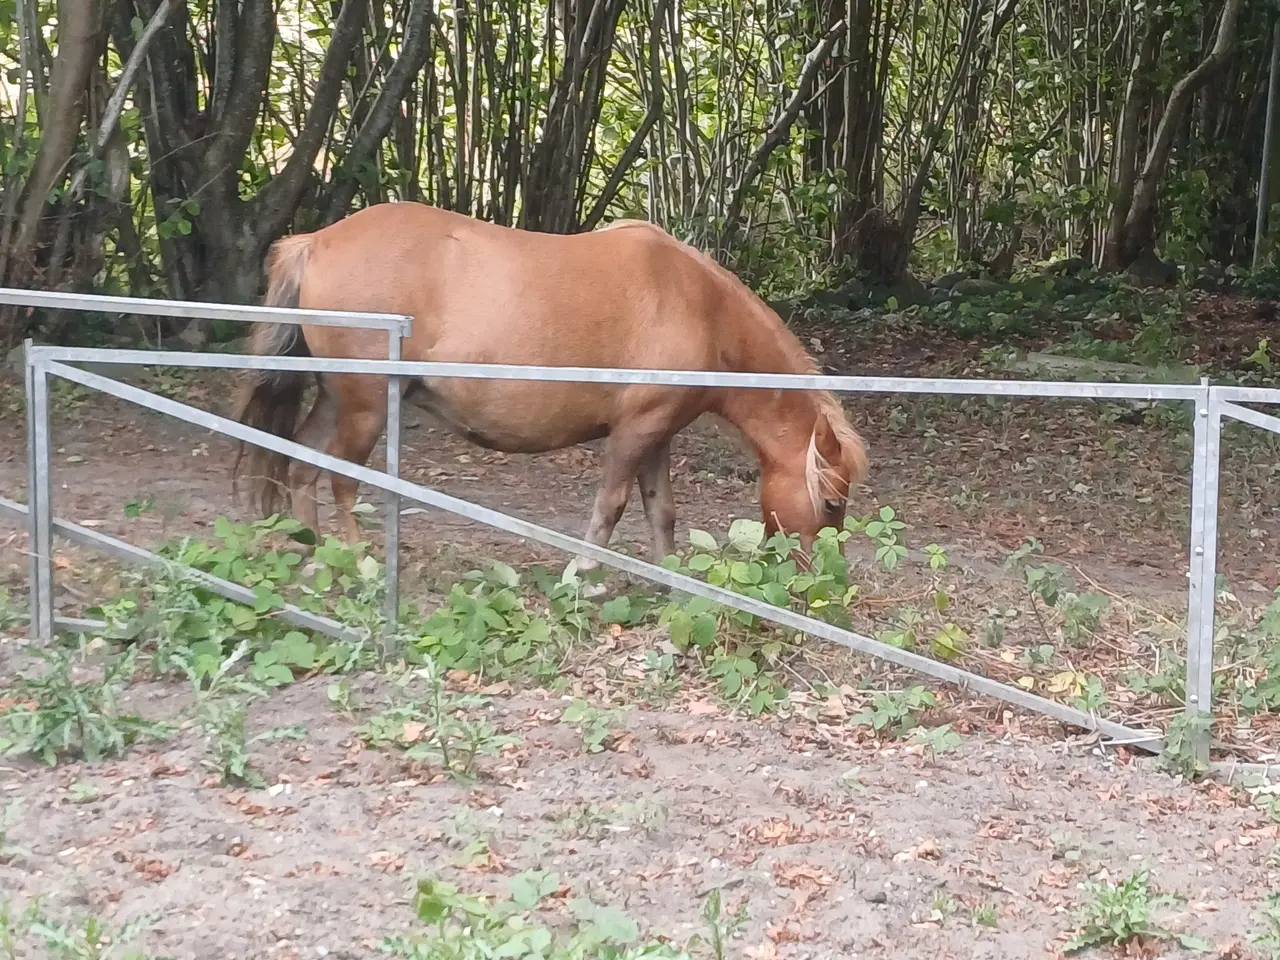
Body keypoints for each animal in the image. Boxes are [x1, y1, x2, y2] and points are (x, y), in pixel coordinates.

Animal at [231, 202, 869, 578]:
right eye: (830, 504)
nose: (818, 579)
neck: (698, 306)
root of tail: (315, 241)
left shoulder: (657, 433)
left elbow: (660, 510)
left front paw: (670, 583)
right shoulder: (633, 433)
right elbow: (610, 507)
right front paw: (581, 578)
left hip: (338, 399)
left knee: (300, 466)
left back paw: (316, 552)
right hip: (366, 406)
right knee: (340, 477)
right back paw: (360, 560)